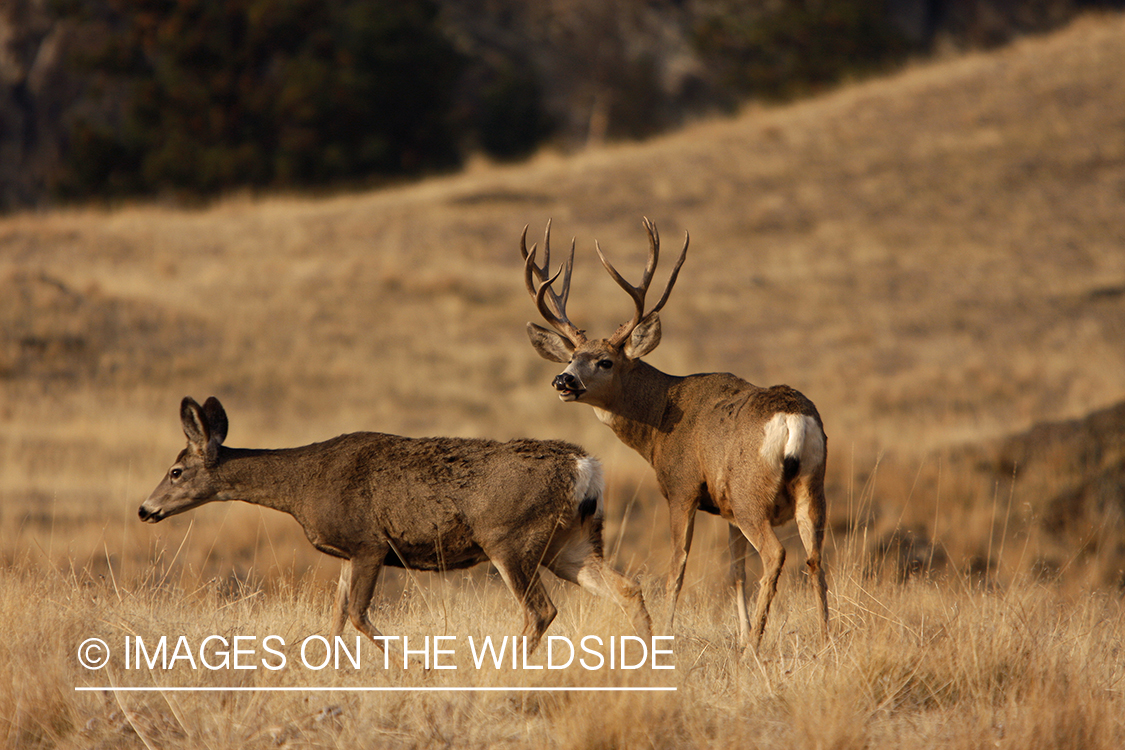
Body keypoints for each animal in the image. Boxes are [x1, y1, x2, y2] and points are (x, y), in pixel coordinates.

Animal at [138, 396, 652, 653]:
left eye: (176, 471)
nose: (146, 510)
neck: (303, 487)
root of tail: (585, 467)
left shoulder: (368, 544)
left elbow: (359, 616)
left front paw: (414, 666)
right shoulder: (348, 553)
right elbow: (336, 617)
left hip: (509, 538)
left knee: (540, 610)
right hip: (570, 543)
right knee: (627, 588)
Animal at [520, 219, 829, 651]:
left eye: (605, 361)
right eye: (571, 357)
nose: (563, 381)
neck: (660, 419)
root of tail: (793, 418)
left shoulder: (682, 487)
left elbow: (676, 569)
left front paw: (670, 635)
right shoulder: (725, 507)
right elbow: (735, 572)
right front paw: (739, 634)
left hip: (751, 492)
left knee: (776, 554)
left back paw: (757, 642)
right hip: (810, 487)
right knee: (815, 558)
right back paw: (826, 638)